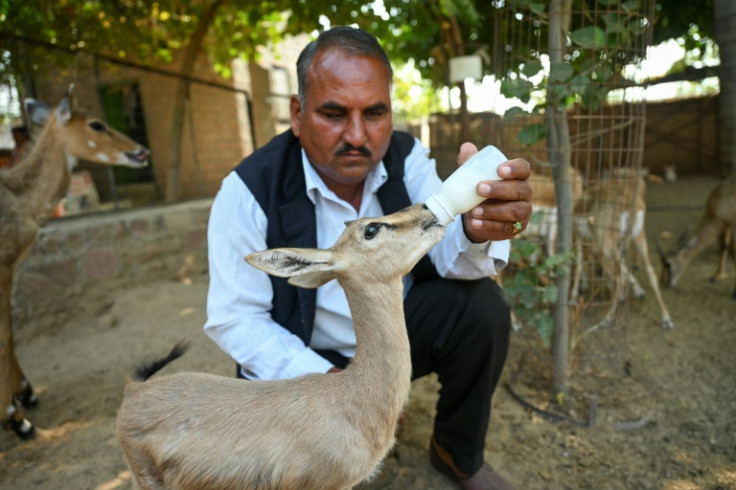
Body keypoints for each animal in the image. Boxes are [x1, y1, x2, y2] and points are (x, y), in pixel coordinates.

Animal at [0, 82, 150, 438]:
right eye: (96, 124)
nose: (142, 151)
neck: (19, 197)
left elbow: (9, 331)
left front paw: (25, 394)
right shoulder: (4, 262)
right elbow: (3, 333)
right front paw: (16, 417)